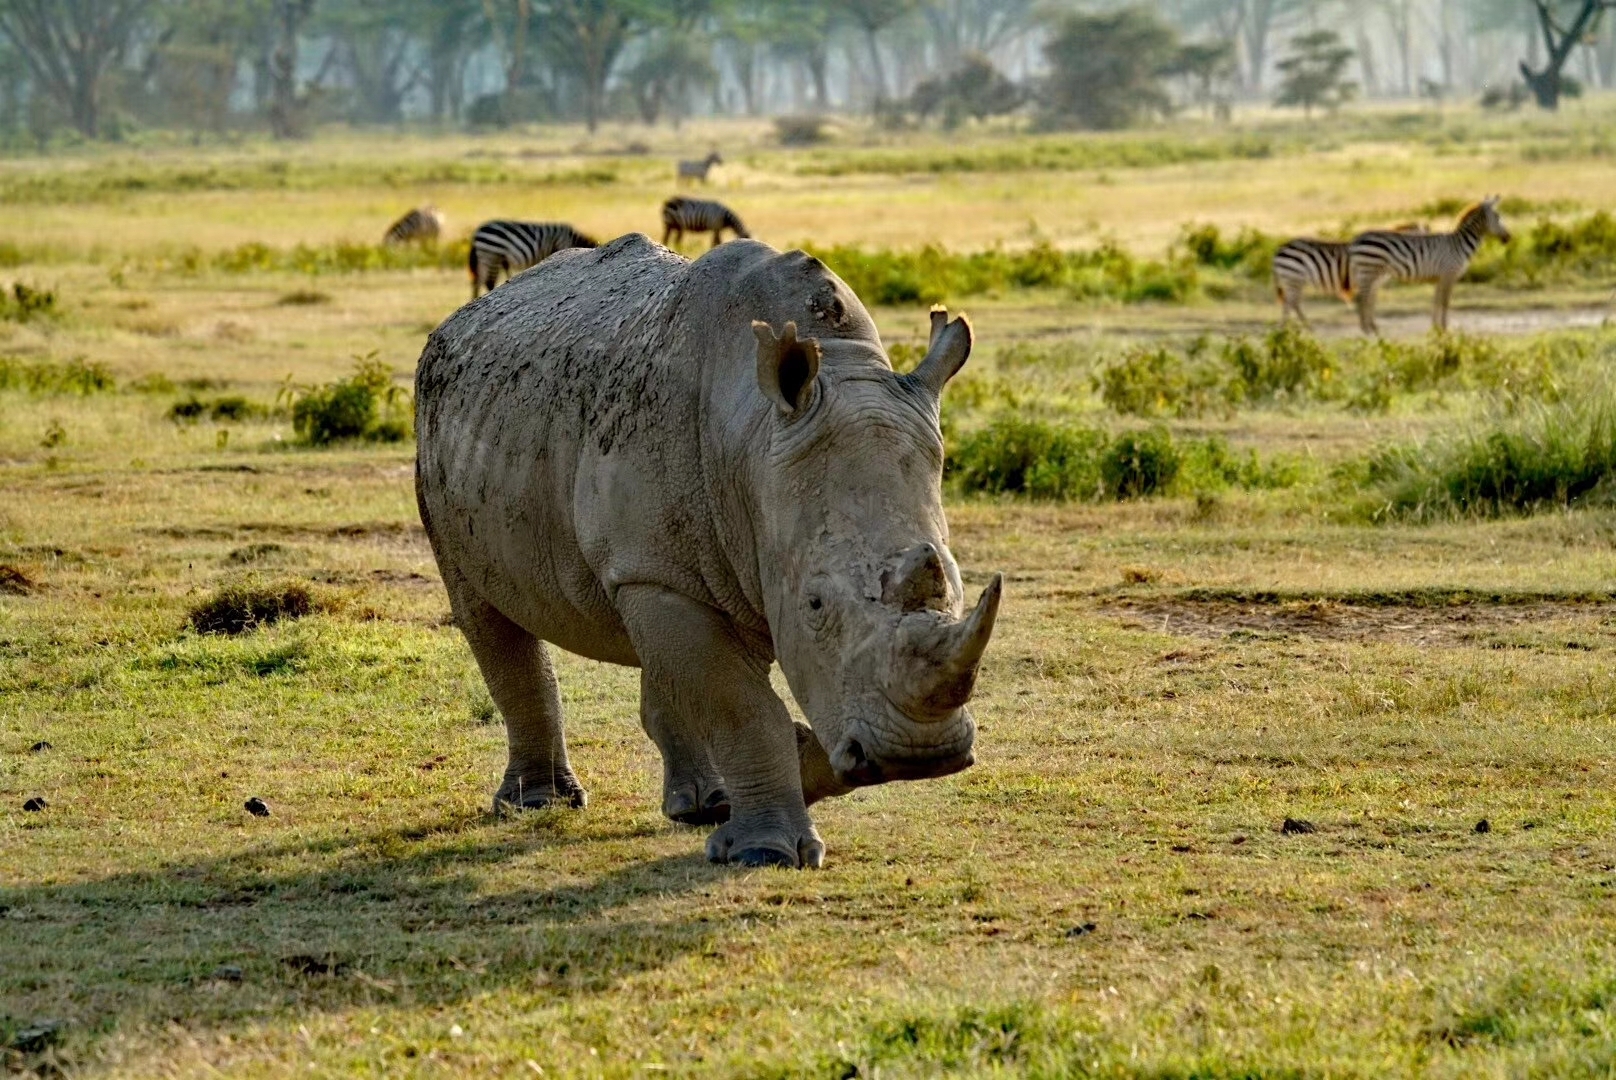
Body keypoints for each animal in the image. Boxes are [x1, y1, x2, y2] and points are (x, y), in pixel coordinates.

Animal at [468, 219, 601, 297]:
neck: (571, 238)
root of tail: (477, 232)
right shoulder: (562, 244)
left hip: (485, 258)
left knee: (477, 282)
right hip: (492, 255)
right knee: (488, 282)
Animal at [1273, 219, 1428, 320]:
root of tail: (1280, 249)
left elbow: (1370, 302)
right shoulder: (1370, 280)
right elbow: (1367, 302)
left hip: (1292, 279)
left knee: (1290, 303)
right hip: (1294, 277)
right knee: (1291, 303)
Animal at [1344, 197, 1506, 333]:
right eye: (1498, 217)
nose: (1508, 238)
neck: (1458, 244)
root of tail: (1356, 239)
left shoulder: (1440, 278)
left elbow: (1436, 302)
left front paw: (1436, 328)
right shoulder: (1449, 274)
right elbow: (1445, 302)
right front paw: (1445, 328)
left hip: (1373, 272)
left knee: (1368, 296)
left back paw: (1372, 327)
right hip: (1369, 269)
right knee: (1362, 297)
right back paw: (1366, 330)